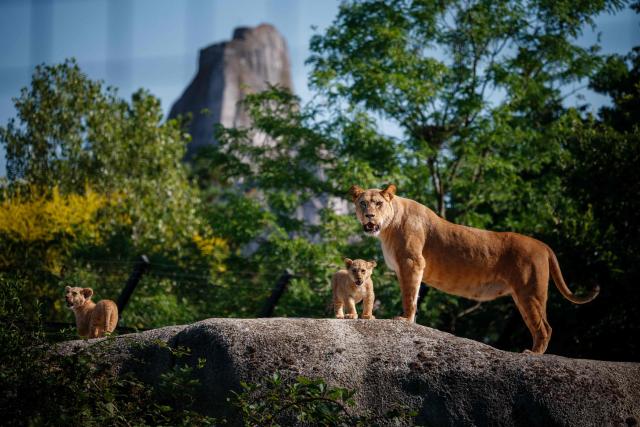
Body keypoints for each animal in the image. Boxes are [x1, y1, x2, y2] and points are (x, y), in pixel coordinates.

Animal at [348, 184, 599, 354]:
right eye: (363, 203)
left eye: (378, 203)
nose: (369, 215)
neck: (388, 227)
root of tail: (543, 245)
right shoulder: (403, 268)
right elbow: (410, 293)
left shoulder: (413, 262)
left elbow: (410, 295)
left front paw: (405, 320)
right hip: (523, 296)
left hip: (531, 292)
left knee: (545, 327)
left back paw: (532, 354)